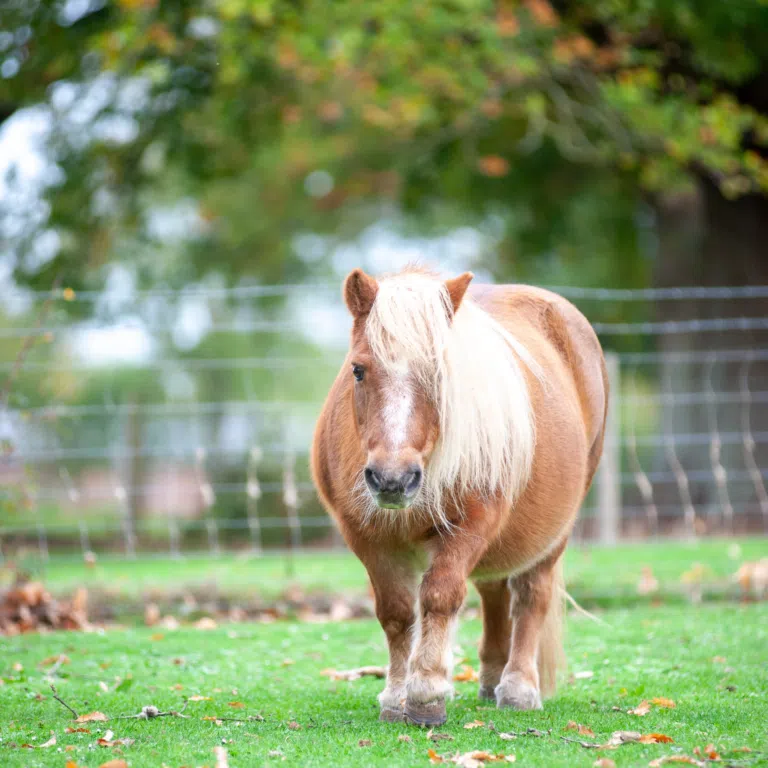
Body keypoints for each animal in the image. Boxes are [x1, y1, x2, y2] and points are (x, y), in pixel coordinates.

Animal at [311, 267, 608, 726]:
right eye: (358, 370)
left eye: (440, 373)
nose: (392, 479)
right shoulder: (367, 538)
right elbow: (396, 612)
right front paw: (395, 697)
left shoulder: (472, 524)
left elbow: (439, 596)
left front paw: (426, 695)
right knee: (493, 590)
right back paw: (490, 678)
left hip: (556, 529)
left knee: (531, 594)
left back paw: (518, 688)